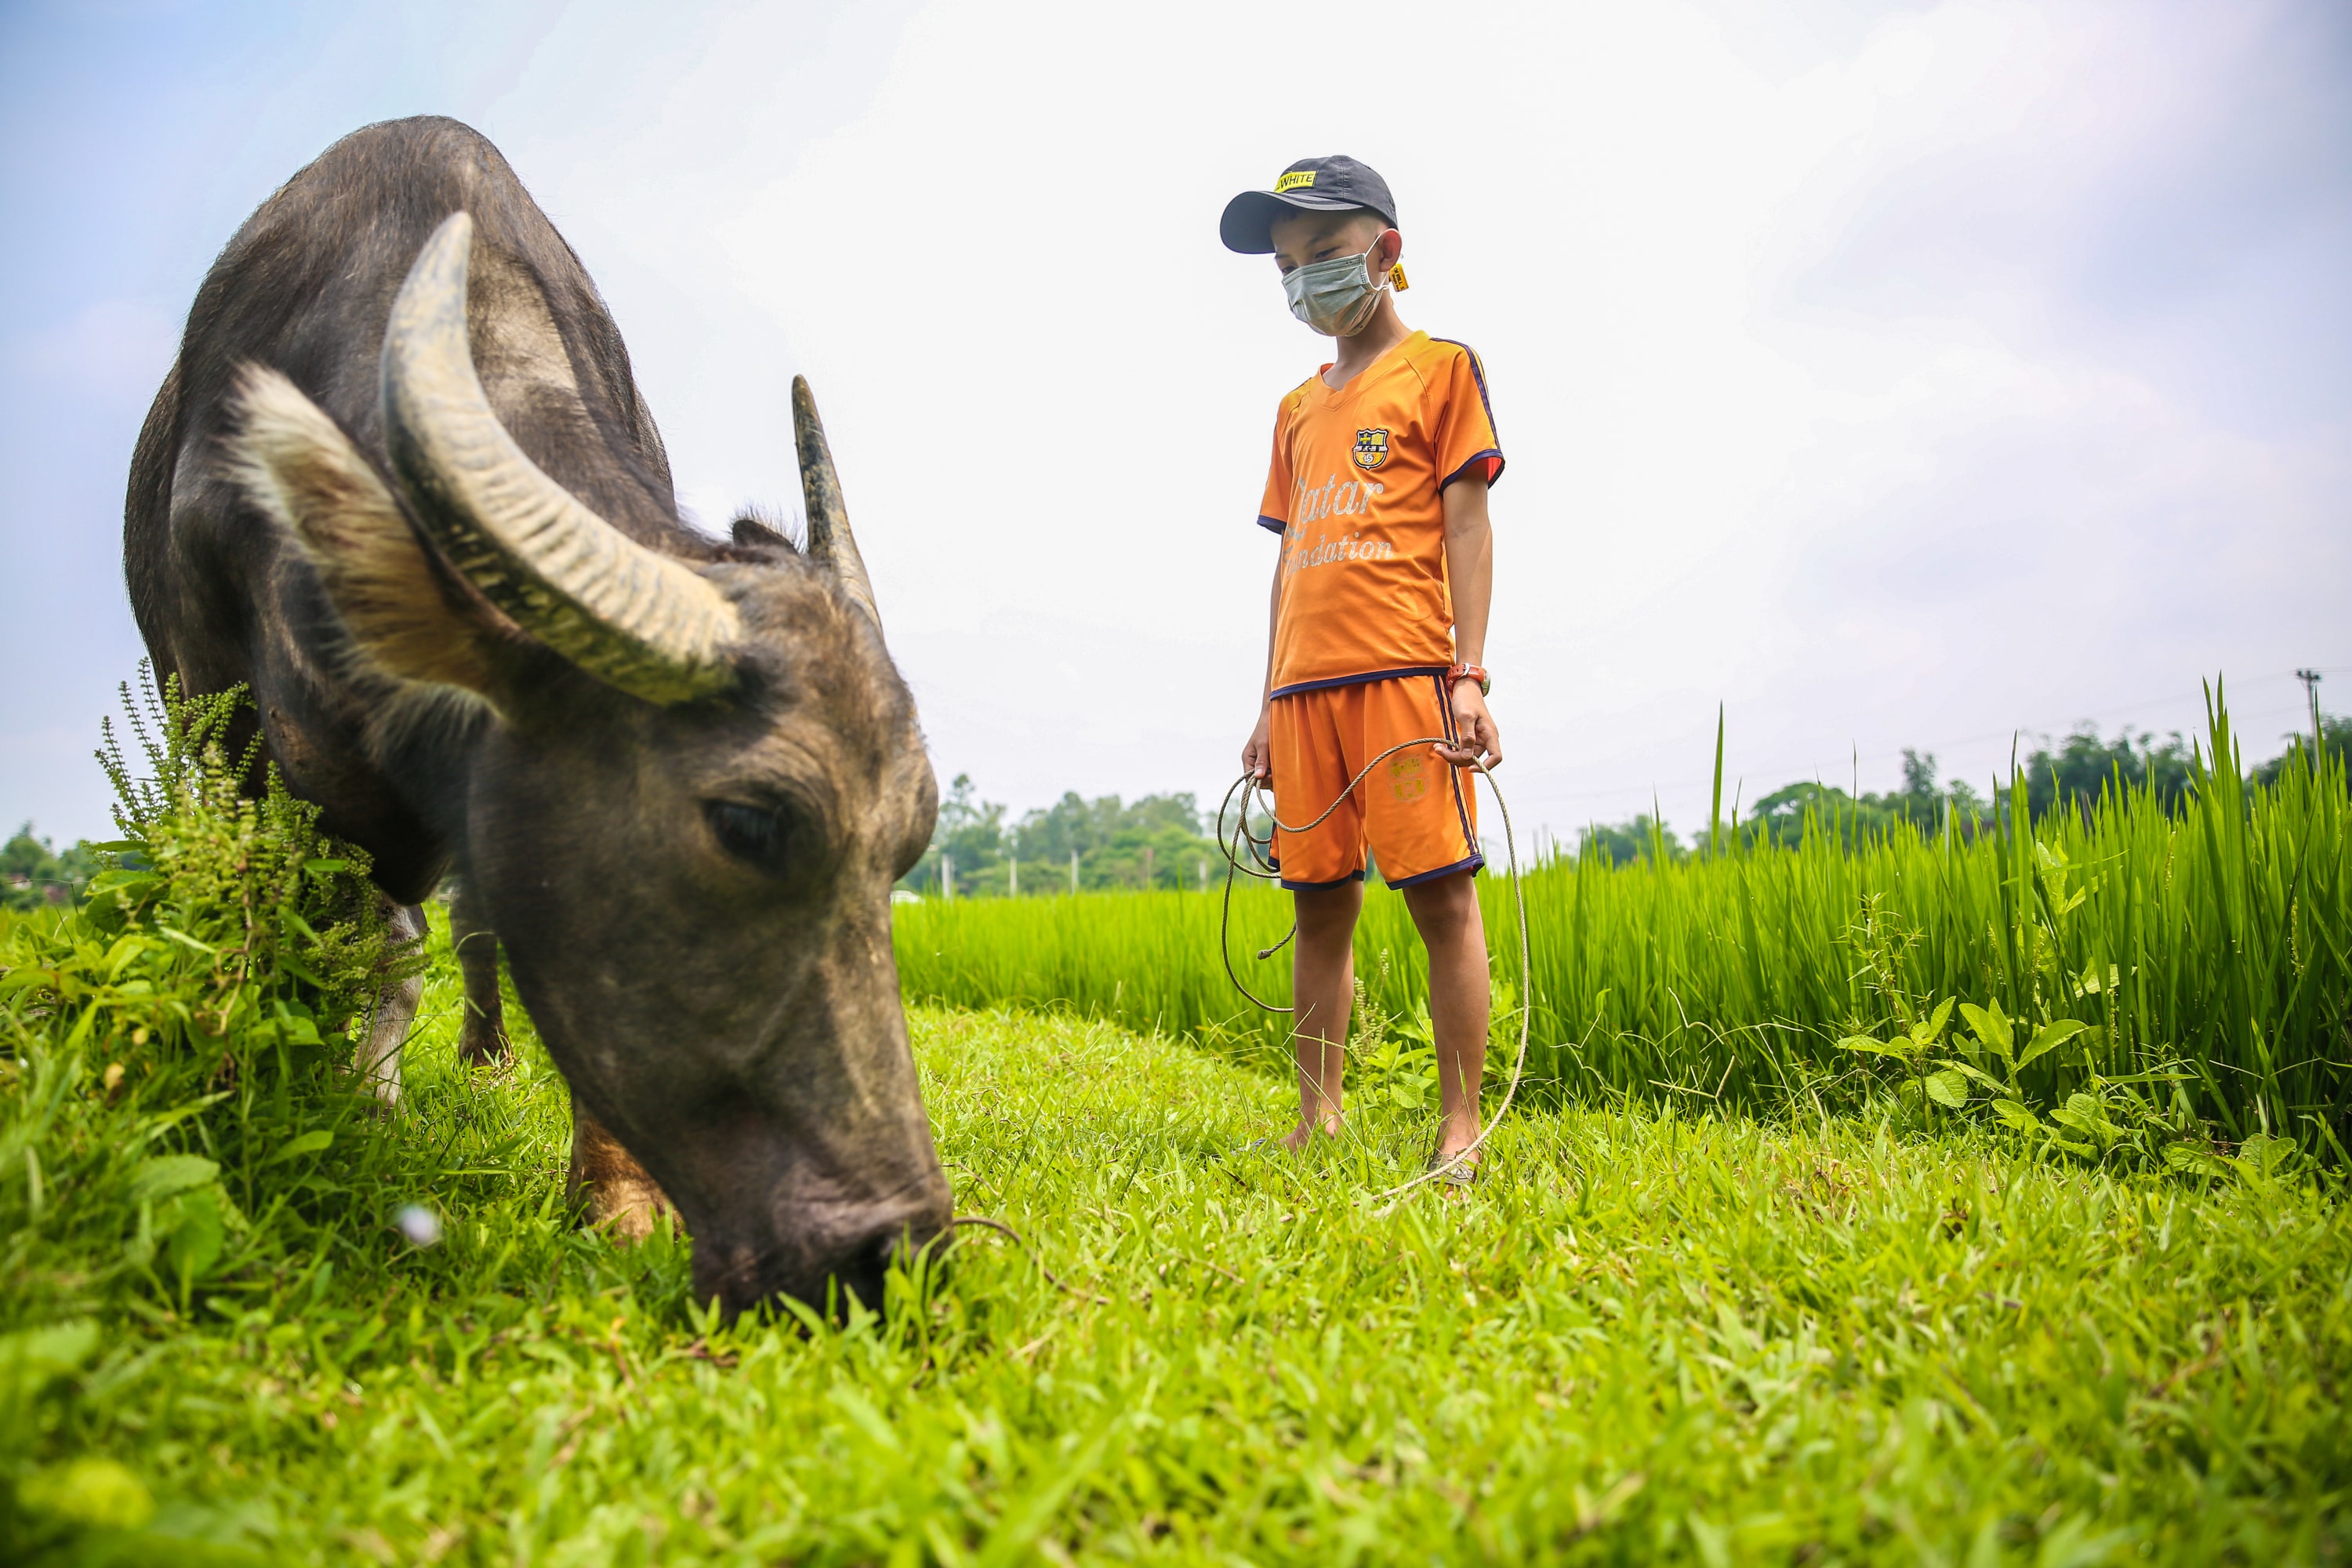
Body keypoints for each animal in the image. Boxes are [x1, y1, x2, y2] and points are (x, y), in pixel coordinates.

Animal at [124, 116, 950, 1316]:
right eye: (746, 823)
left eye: (909, 842)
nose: (888, 1251)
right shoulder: (234, 738)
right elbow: (292, 937)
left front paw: (614, 1204)